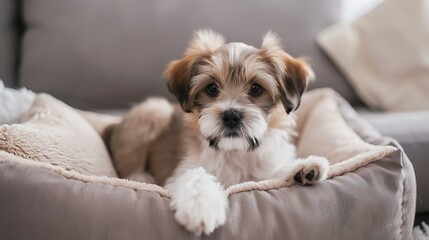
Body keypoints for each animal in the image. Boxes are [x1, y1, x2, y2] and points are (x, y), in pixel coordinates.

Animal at [107, 29, 328, 235]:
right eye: (212, 88)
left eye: (256, 88)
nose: (231, 115)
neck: (234, 151)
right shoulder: (183, 170)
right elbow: (196, 175)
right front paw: (199, 204)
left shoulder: (263, 170)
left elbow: (273, 174)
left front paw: (304, 167)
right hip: (153, 110)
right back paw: (142, 178)